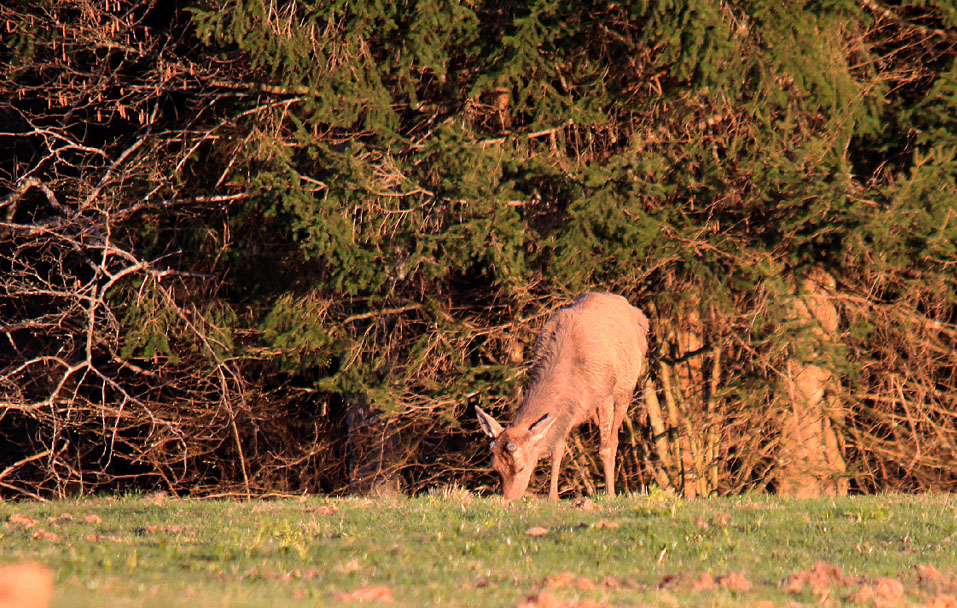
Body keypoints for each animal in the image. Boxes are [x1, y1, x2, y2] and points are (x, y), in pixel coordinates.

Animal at [476, 294, 648, 498]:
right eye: (495, 468)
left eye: (521, 467)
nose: (509, 499)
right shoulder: (566, 412)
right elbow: (557, 449)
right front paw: (553, 497)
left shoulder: (606, 392)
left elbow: (605, 447)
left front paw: (610, 495)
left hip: (626, 388)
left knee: (613, 437)